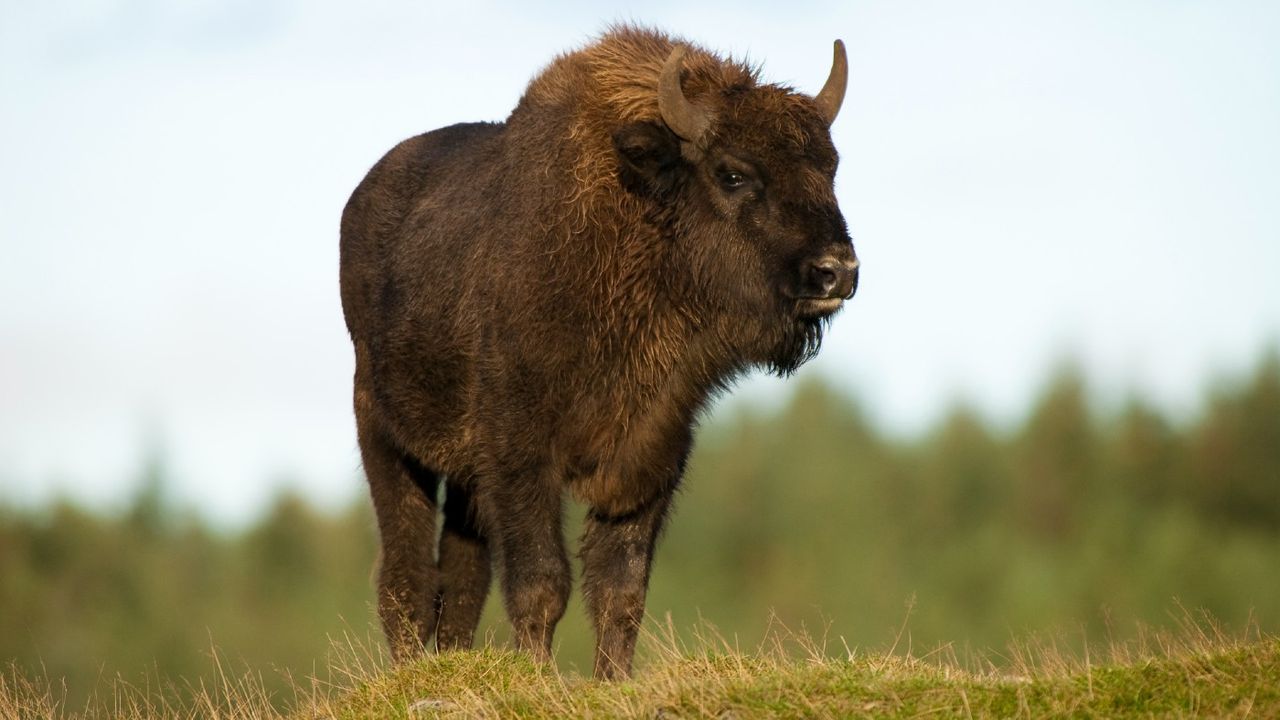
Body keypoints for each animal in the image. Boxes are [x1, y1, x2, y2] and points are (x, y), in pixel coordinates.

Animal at [340, 26, 860, 676]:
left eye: (830, 169)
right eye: (733, 174)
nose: (836, 271)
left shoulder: (652, 454)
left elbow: (620, 591)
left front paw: (612, 681)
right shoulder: (520, 456)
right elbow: (542, 584)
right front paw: (538, 678)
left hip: (462, 479)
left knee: (461, 577)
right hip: (383, 434)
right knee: (407, 575)